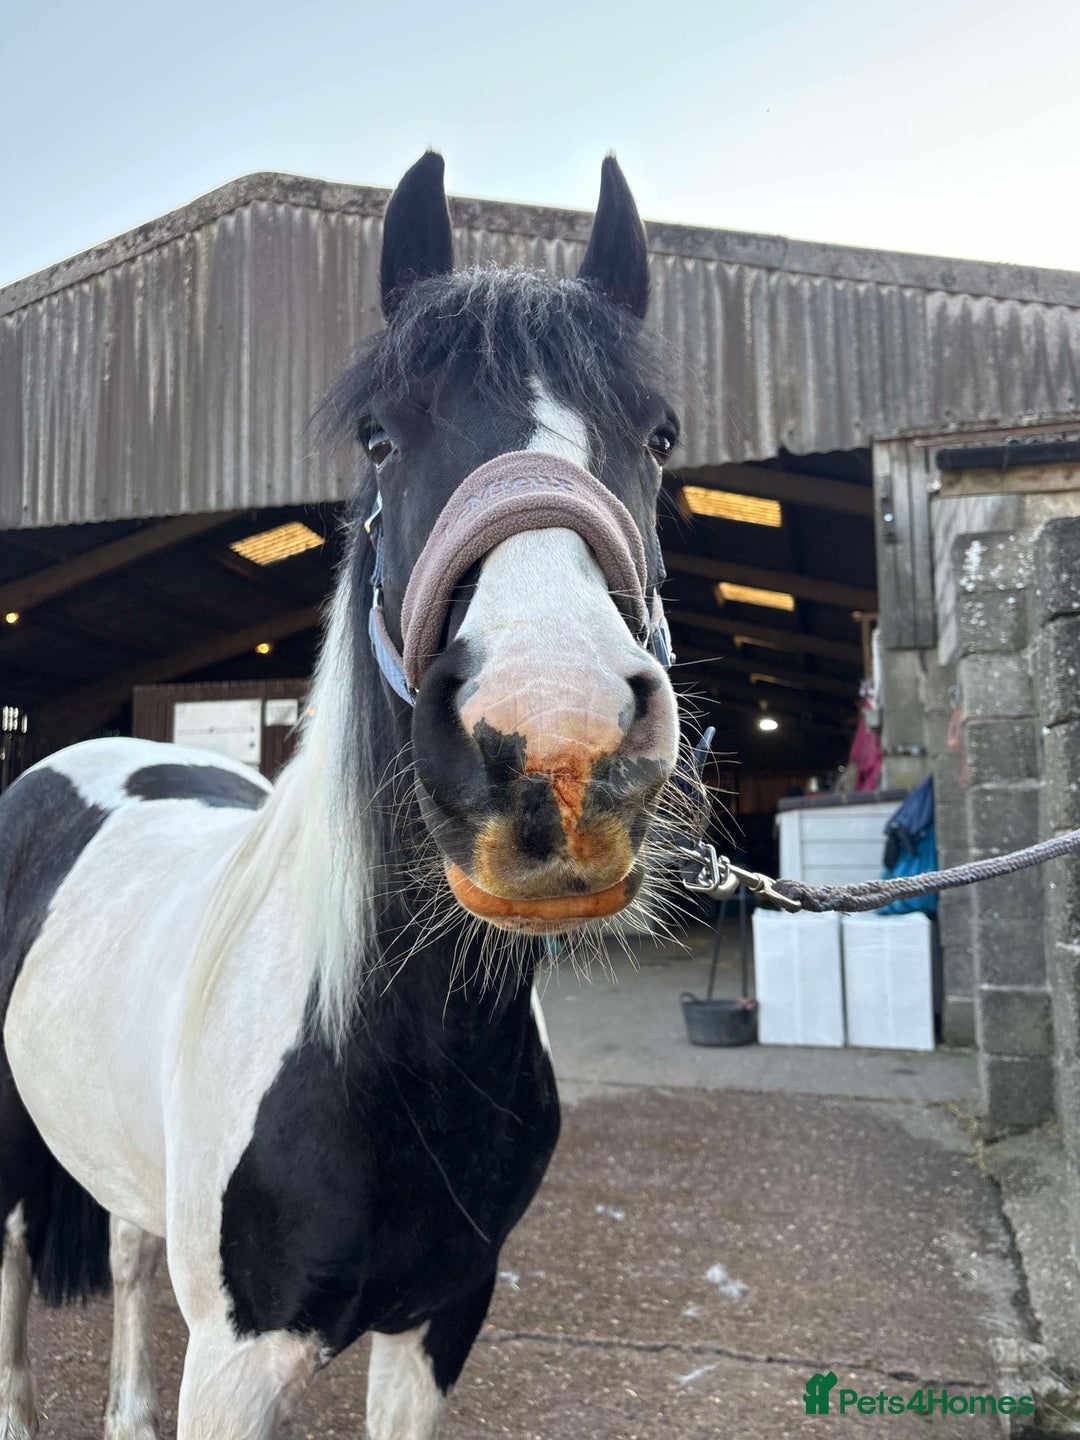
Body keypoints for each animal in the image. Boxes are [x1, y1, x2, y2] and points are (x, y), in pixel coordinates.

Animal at [0, 150, 694, 1439]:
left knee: (124, 1251)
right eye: (378, 438)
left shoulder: (442, 1319)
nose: (555, 742)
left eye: (661, 435)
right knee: (18, 1270)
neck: (391, 1042)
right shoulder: (237, 1360)